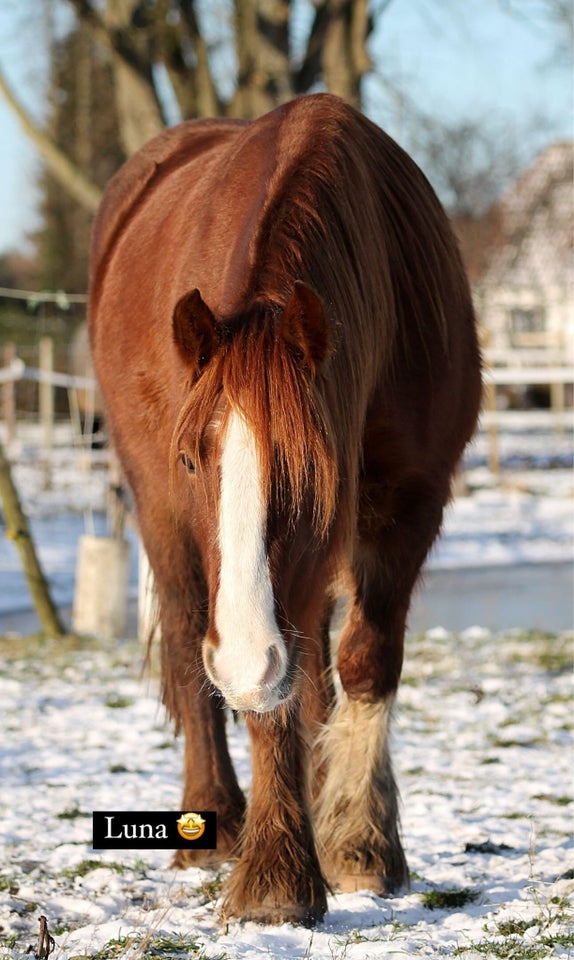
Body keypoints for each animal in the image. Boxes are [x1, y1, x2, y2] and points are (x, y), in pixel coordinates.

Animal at [90, 95, 484, 924]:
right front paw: (276, 874)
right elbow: (269, 694)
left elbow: (361, 664)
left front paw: (361, 846)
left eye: (310, 469)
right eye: (191, 461)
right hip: (158, 516)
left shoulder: (408, 502)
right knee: (189, 642)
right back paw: (214, 822)